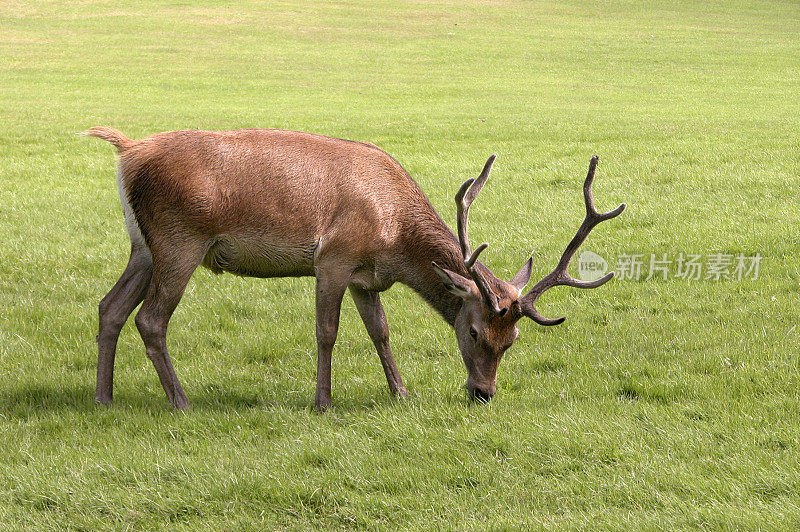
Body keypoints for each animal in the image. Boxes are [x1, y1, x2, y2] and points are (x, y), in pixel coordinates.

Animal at [86, 127, 624, 410]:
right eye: (473, 331)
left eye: (511, 340)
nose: (483, 393)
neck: (394, 238)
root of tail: (128, 152)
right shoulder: (334, 258)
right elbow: (327, 331)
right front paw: (322, 402)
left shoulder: (369, 278)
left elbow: (381, 332)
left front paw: (401, 393)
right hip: (180, 240)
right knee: (150, 319)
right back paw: (180, 402)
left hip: (143, 246)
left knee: (110, 307)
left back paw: (104, 398)